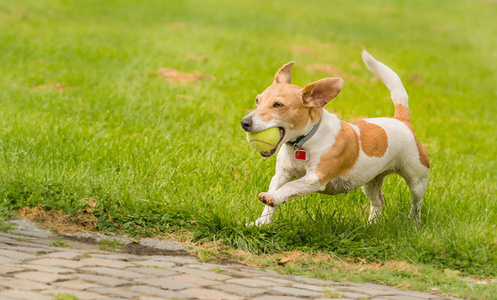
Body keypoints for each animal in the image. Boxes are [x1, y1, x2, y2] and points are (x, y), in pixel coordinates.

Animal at [238, 50, 428, 226]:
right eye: (257, 100)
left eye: (278, 105)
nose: (244, 123)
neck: (304, 141)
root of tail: (401, 120)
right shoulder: (281, 174)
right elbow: (273, 199)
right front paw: (260, 223)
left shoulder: (315, 179)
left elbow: (290, 186)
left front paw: (274, 198)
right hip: (370, 182)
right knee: (378, 202)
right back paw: (371, 224)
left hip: (417, 179)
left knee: (417, 202)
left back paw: (414, 223)